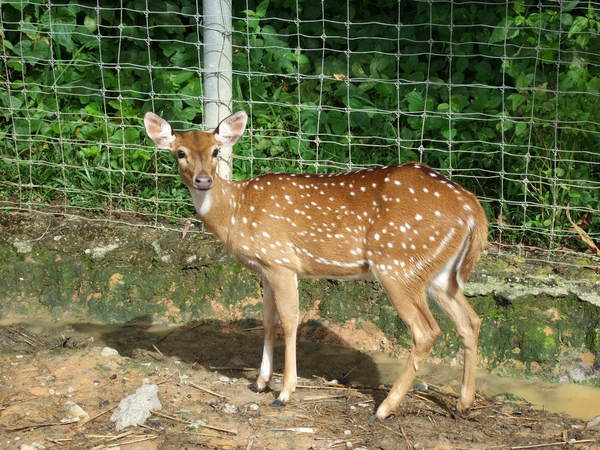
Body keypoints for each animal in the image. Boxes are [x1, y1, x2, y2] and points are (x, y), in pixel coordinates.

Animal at [144, 110, 488, 420]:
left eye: (216, 151)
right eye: (180, 152)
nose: (203, 180)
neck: (236, 212)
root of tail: (473, 209)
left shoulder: (281, 261)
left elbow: (290, 321)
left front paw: (284, 393)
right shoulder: (266, 268)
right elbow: (267, 320)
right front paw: (260, 382)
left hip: (397, 264)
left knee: (427, 331)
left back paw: (384, 409)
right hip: (440, 274)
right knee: (470, 320)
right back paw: (463, 404)